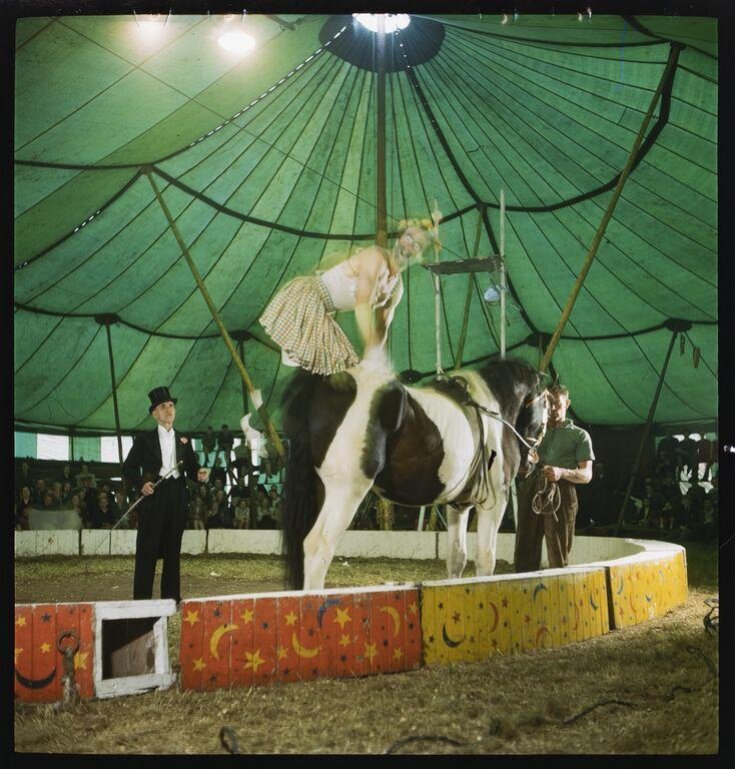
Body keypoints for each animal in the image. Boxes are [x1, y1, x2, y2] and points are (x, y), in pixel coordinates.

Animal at [282, 358, 548, 588]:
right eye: (547, 404)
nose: (531, 461)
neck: (491, 412)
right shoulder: (494, 502)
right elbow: (485, 560)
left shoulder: (459, 505)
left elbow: (457, 558)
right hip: (346, 492)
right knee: (318, 547)